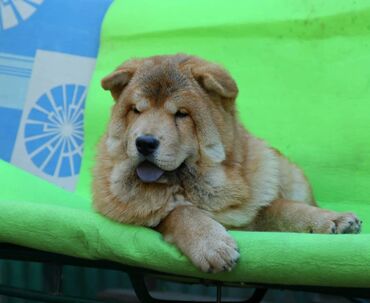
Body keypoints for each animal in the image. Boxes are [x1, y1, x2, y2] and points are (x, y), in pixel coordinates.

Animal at [92, 53, 362, 274]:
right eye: (136, 110)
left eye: (182, 114)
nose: (144, 142)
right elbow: (182, 212)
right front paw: (212, 244)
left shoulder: (255, 208)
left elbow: (287, 208)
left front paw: (332, 218)